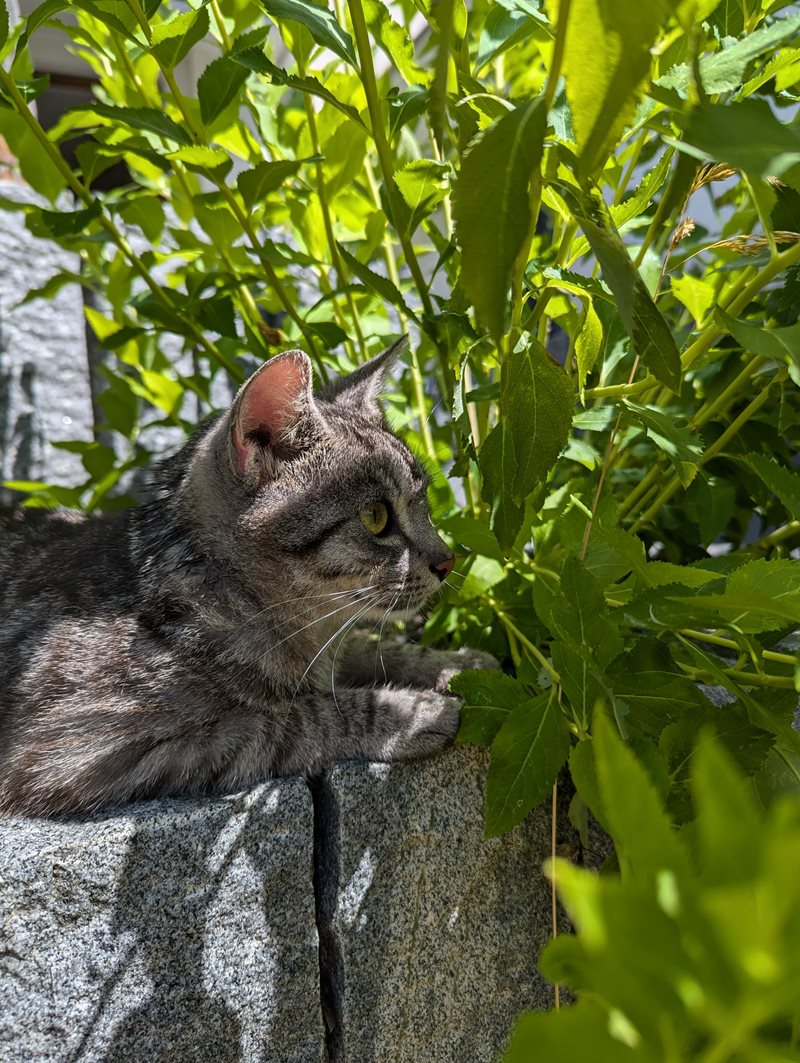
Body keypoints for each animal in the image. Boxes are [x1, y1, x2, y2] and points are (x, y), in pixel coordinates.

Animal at [0, 340, 497, 812]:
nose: (448, 561)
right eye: (376, 517)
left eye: (424, 502)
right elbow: (296, 717)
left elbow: (369, 647)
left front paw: (455, 665)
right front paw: (411, 711)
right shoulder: (87, 751)